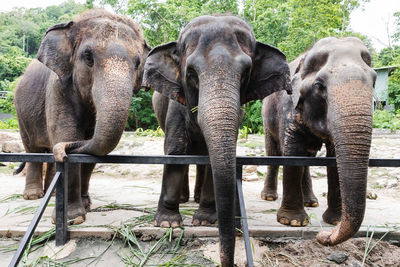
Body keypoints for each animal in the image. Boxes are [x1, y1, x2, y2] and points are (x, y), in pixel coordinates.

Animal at [14, 9, 150, 225]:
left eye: (138, 63)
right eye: (88, 57)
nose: (62, 151)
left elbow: (91, 150)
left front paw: (85, 206)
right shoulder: (59, 87)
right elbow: (66, 133)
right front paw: (73, 219)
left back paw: (52, 194)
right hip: (21, 112)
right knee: (31, 148)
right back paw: (33, 196)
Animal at [142, 15, 292, 267]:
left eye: (246, 73)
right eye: (191, 72)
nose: (228, 262)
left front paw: (204, 221)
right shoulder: (176, 103)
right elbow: (175, 151)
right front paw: (168, 223)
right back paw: (184, 199)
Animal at [260, 37, 376, 247]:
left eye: (374, 81)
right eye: (319, 86)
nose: (322, 236)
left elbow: (333, 159)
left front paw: (335, 221)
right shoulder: (289, 106)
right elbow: (293, 153)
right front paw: (292, 222)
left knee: (308, 157)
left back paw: (311, 202)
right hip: (267, 116)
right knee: (273, 151)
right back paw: (269, 197)